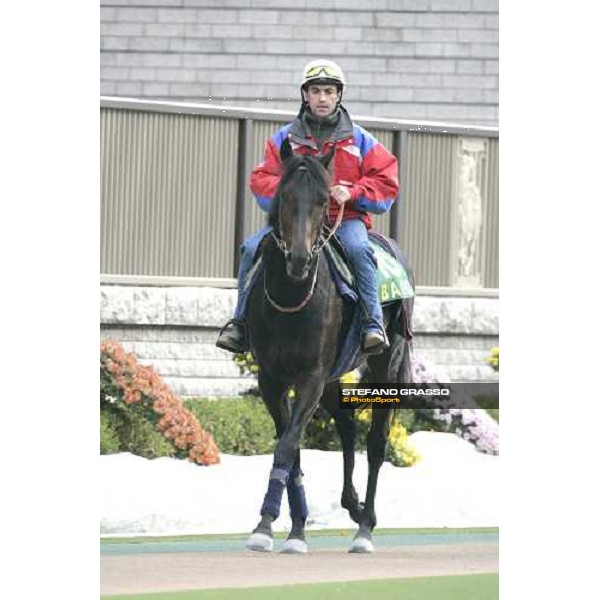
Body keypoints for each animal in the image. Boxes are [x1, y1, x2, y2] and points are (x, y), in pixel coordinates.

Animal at [244, 138, 412, 556]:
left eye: (324, 199)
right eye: (285, 195)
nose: (300, 258)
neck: (292, 299)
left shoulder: (311, 376)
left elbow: (288, 446)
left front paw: (271, 523)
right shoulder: (272, 379)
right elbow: (291, 448)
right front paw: (291, 528)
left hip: (386, 367)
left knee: (376, 444)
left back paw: (365, 528)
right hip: (336, 375)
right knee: (348, 426)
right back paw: (352, 505)